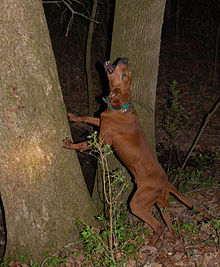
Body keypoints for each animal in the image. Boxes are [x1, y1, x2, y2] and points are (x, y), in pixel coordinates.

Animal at [63, 58, 211, 245]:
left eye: (124, 74)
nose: (124, 59)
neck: (121, 108)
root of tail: (166, 182)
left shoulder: (101, 141)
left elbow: (82, 143)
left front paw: (69, 144)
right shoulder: (101, 121)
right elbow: (87, 117)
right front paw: (73, 116)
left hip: (137, 204)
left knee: (158, 226)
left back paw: (150, 245)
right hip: (162, 204)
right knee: (168, 224)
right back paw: (170, 239)